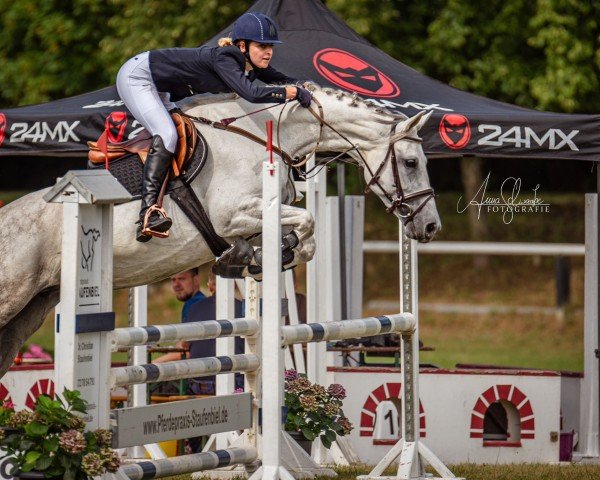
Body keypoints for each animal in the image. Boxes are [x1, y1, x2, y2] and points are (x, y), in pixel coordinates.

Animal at [0, 86, 440, 378]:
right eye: (411, 161)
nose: (430, 226)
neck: (270, 133)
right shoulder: (235, 215)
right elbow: (308, 224)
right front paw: (256, 258)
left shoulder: (258, 217)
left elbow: (305, 239)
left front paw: (251, 259)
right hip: (12, 296)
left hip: (32, 309)